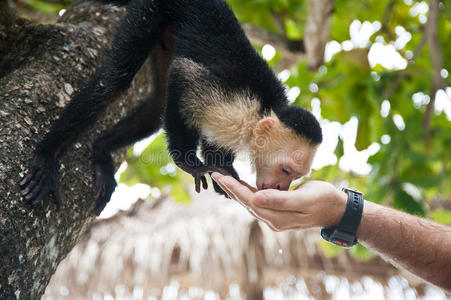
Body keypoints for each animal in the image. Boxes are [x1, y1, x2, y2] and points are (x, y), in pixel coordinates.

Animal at [20, 0, 322, 216]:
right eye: (286, 171)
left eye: (294, 176)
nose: (282, 187)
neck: (262, 113)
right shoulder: (236, 107)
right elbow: (183, 74)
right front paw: (189, 163)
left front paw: (222, 171)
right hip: (150, 11)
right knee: (116, 81)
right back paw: (47, 155)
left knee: (156, 108)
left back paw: (101, 151)